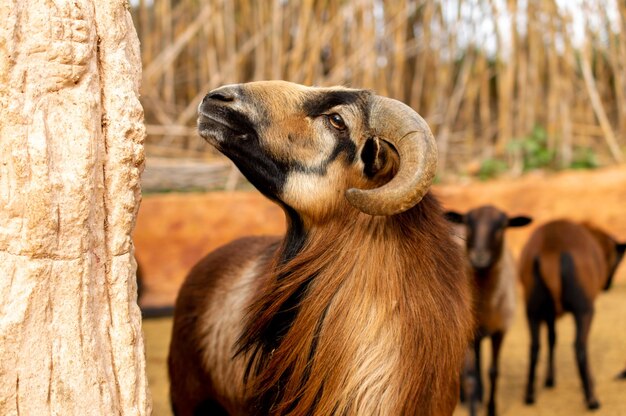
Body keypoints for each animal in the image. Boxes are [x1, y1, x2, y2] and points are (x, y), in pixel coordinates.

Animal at [516, 221, 624, 410]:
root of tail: (550, 250)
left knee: (535, 347)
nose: (607, 286)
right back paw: (591, 399)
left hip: (532, 309)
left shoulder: (549, 314)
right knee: (580, 346)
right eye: (617, 260)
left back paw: (529, 396)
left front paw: (549, 380)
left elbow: (552, 339)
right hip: (584, 309)